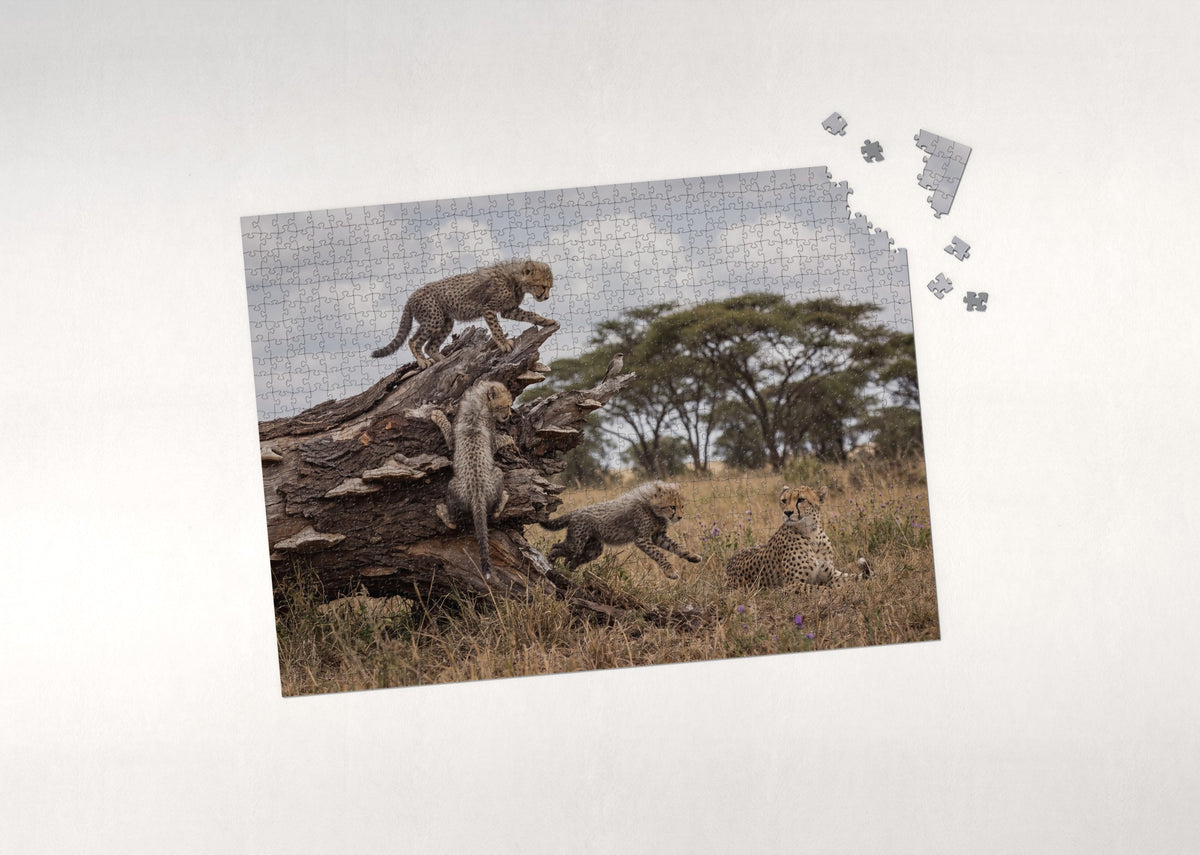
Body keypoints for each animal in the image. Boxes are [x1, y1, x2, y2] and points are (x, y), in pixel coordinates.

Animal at [371, 260, 558, 368]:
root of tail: (410, 297)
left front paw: (546, 321)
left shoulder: (508, 309)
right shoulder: (488, 308)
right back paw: (423, 361)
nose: (547, 297)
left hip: (446, 321)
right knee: (413, 341)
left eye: (550, 287)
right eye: (542, 286)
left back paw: (443, 360)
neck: (516, 278)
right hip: (434, 318)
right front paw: (504, 343)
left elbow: (530, 314)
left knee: (430, 346)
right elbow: (496, 328)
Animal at [430, 380, 518, 580]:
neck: (478, 404)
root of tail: (478, 496)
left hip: (456, 485)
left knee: (456, 520)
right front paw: (437, 414)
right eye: (504, 406)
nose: (507, 416)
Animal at [542, 481, 701, 580]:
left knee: (570, 560)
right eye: (672, 507)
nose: (680, 517)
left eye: (682, 506)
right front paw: (671, 571)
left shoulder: (658, 536)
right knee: (556, 546)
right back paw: (550, 561)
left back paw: (567, 573)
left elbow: (677, 546)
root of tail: (577, 511)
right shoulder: (642, 539)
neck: (652, 506)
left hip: (593, 549)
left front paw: (692, 556)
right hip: (576, 544)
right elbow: (660, 554)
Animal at [725, 485, 871, 590]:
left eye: (801, 500)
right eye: (784, 501)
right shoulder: (791, 585)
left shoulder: (831, 576)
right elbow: (822, 589)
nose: (788, 512)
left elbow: (852, 578)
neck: (812, 535)